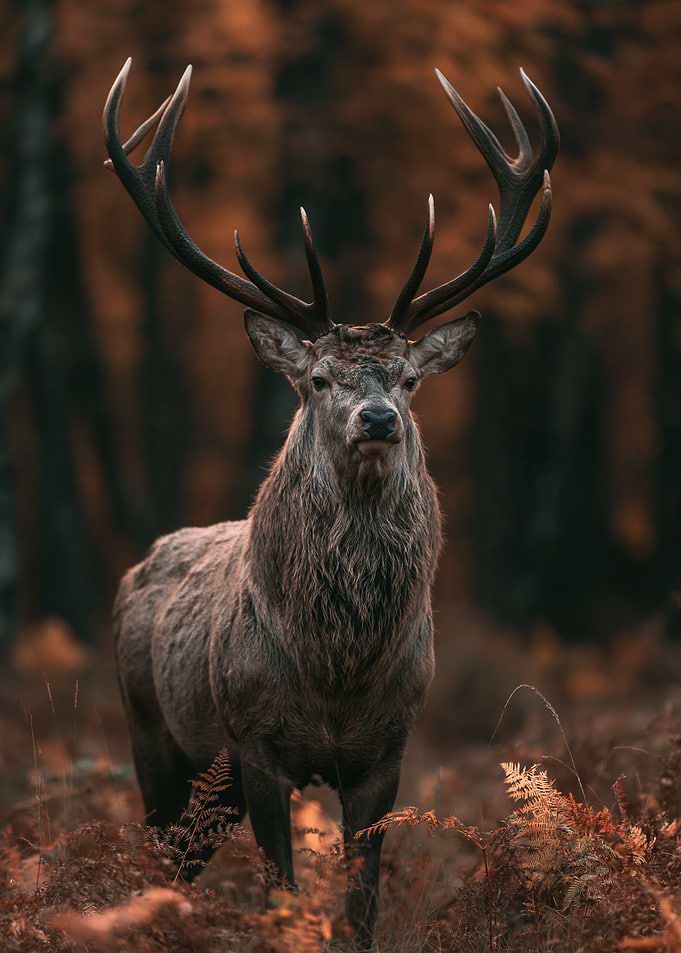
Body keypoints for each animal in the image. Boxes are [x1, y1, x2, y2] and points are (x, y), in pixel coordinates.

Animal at [105, 58, 558, 950]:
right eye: (318, 379)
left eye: (409, 379)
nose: (377, 417)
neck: (336, 670)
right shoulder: (254, 744)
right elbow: (282, 893)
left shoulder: (386, 751)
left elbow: (360, 904)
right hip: (154, 732)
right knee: (156, 856)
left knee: (178, 865)